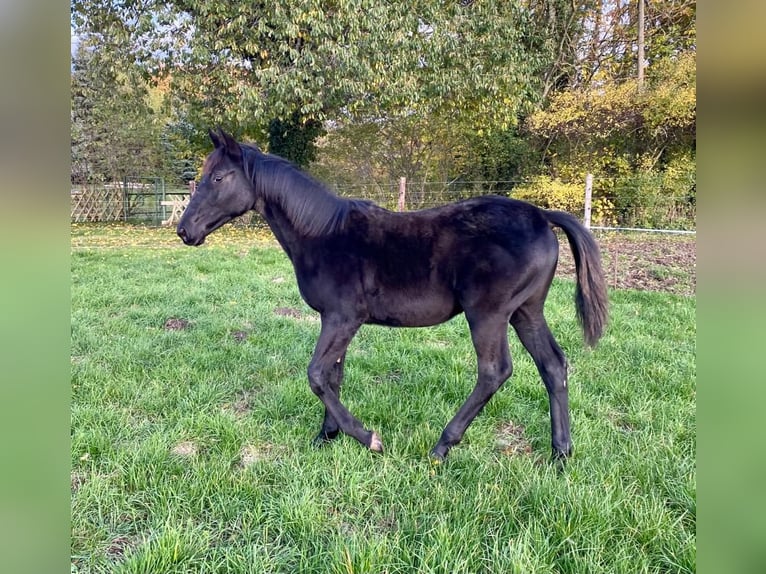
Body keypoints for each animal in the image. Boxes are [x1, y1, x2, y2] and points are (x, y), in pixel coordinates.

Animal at [177, 129, 608, 464]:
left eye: (219, 177)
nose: (184, 230)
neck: (322, 234)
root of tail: (543, 216)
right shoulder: (336, 320)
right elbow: (333, 375)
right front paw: (326, 436)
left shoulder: (342, 317)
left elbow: (316, 375)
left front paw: (368, 438)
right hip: (526, 311)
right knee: (553, 365)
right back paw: (560, 454)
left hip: (488, 314)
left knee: (494, 371)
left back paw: (442, 446)